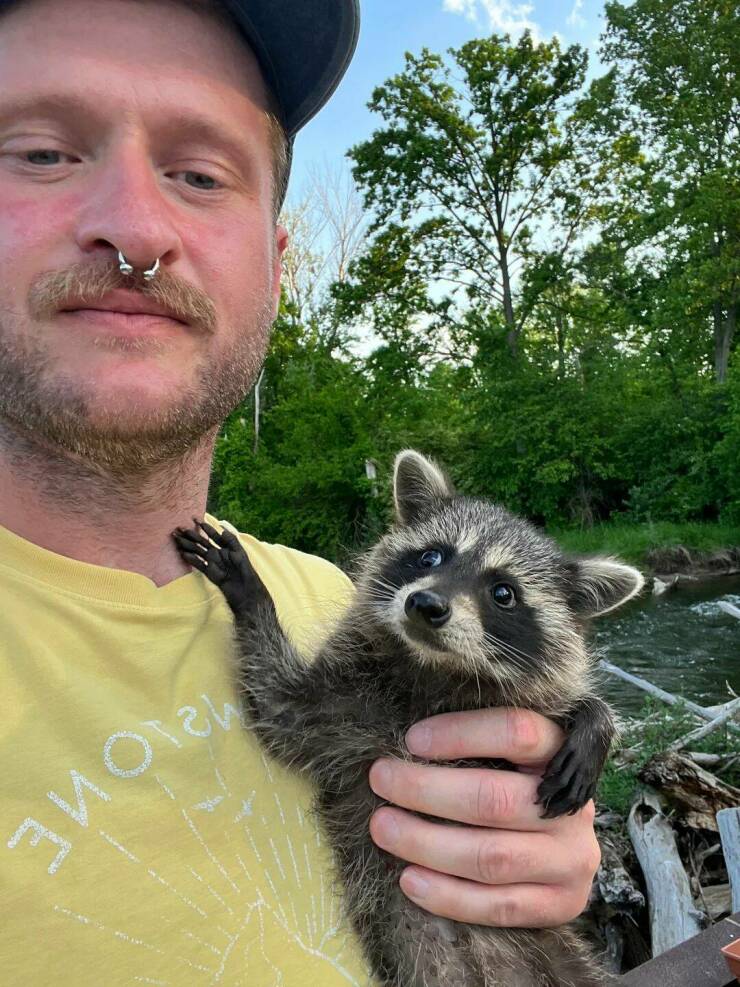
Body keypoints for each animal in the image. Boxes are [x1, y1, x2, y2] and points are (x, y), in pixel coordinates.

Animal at [173, 452, 640, 984]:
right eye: (431, 557)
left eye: (503, 593)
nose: (426, 604)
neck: (429, 670)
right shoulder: (343, 713)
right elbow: (278, 704)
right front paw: (251, 594)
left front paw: (595, 719)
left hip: (566, 956)